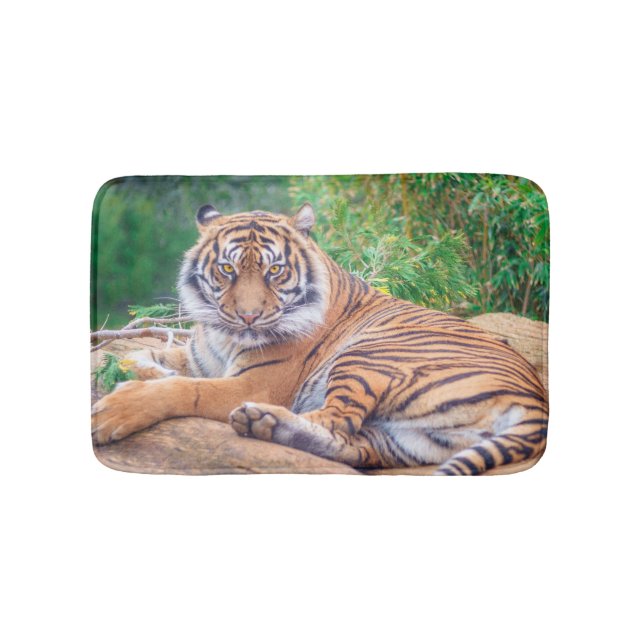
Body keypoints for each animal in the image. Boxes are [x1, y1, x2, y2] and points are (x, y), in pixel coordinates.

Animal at [92, 203, 548, 475]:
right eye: (227, 269)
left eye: (274, 271)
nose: (248, 316)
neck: (226, 337)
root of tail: (537, 401)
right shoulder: (200, 357)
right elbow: (148, 355)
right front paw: (138, 369)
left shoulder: (255, 382)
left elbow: (188, 389)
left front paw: (114, 410)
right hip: (410, 440)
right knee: (352, 444)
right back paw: (266, 425)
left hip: (368, 356)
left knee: (337, 417)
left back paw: (260, 418)